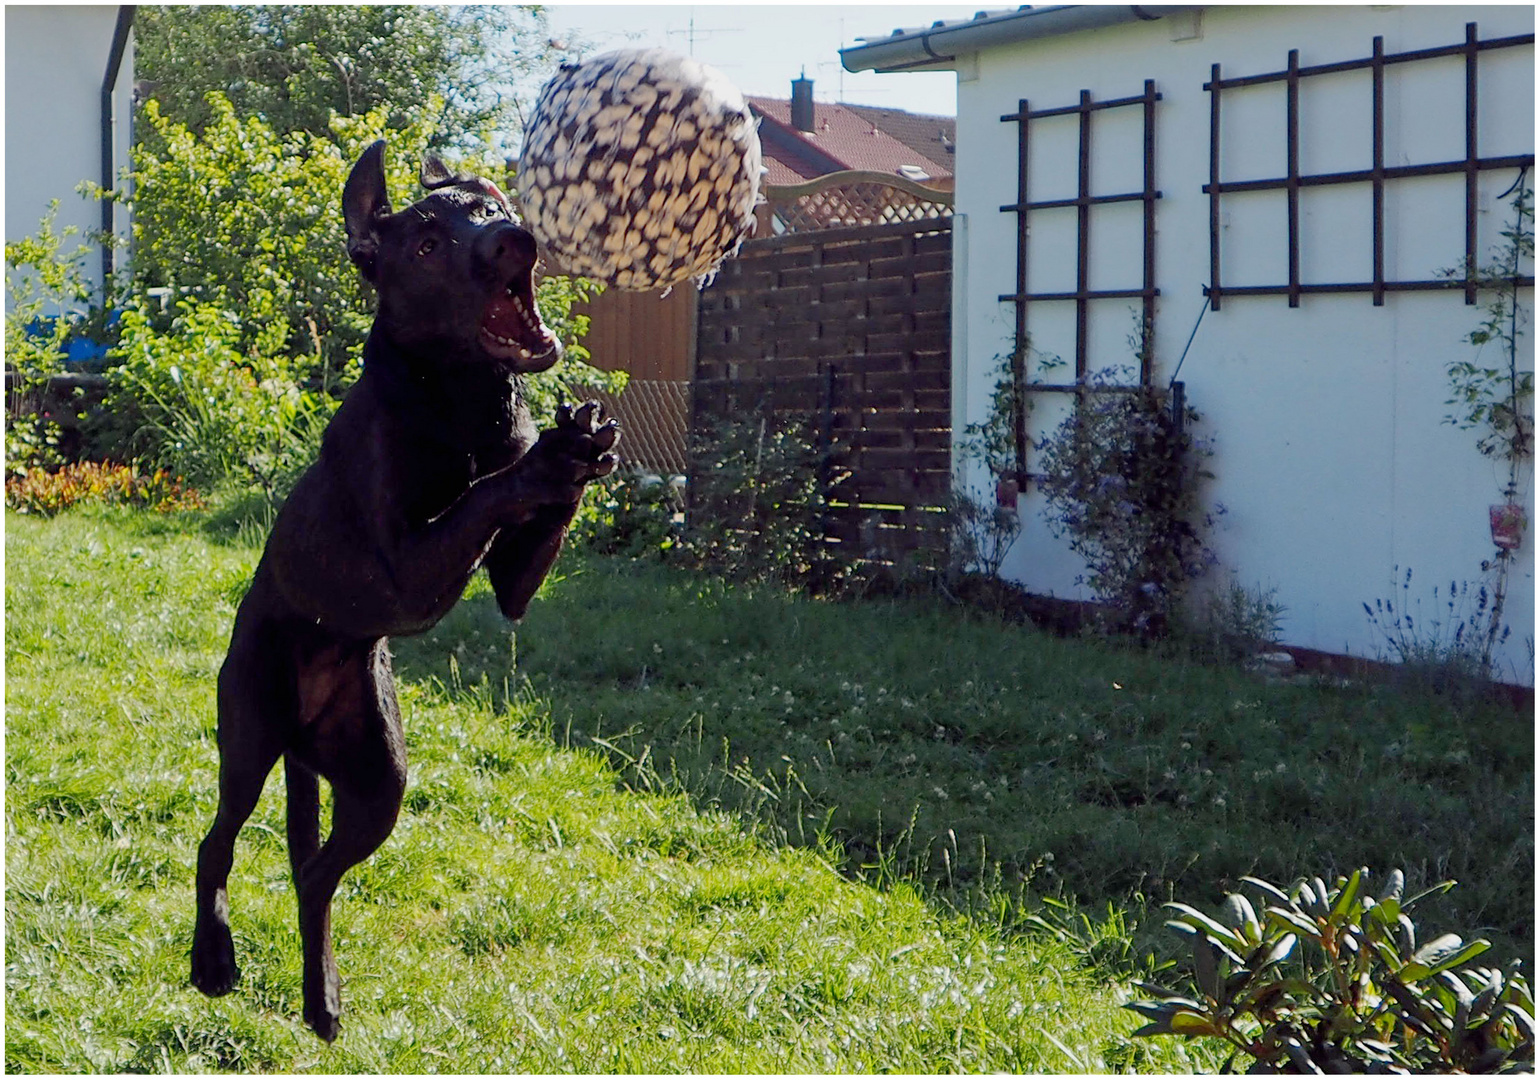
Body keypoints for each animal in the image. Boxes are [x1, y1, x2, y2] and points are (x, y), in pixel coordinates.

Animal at [192, 138, 619, 1041]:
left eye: (490, 207)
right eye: (425, 244)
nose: (513, 242)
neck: (459, 397)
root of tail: (300, 739)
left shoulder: (514, 584)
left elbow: (530, 524)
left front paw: (579, 445)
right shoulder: (403, 566)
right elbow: (484, 491)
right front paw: (542, 459)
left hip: (376, 779)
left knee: (314, 877)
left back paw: (322, 998)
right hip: (248, 735)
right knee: (220, 843)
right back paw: (213, 960)